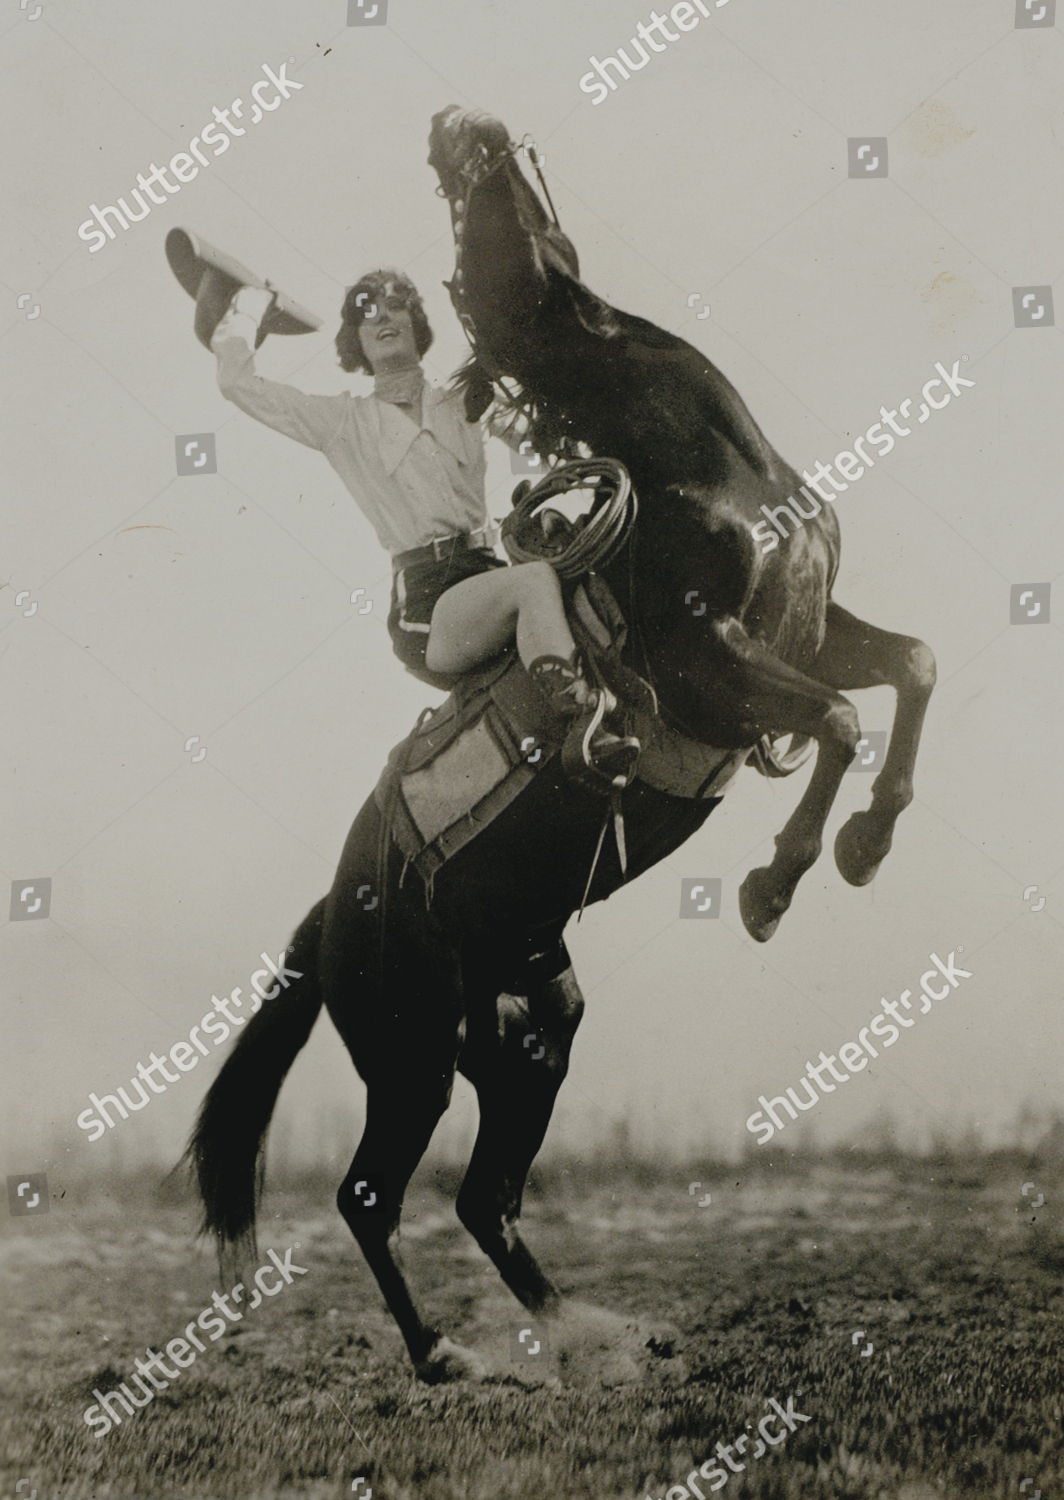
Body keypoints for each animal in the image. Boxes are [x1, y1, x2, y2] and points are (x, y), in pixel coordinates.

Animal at [186, 108, 936, 1380]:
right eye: (461, 208)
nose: (457, 122)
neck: (711, 472)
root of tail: (333, 913)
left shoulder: (811, 628)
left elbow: (910, 669)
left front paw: (866, 845)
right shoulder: (706, 664)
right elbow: (837, 722)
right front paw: (774, 884)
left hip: (529, 1033)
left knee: (482, 1198)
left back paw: (591, 1331)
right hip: (408, 1053)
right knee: (370, 1195)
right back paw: (443, 1354)